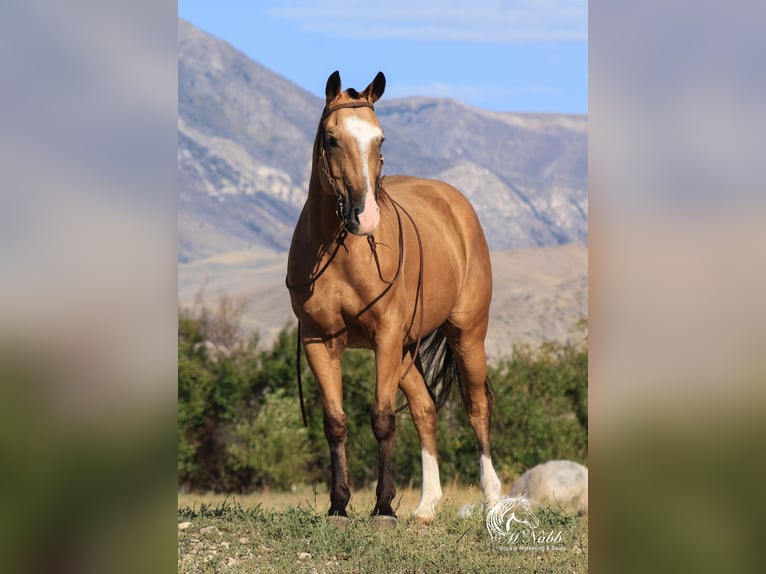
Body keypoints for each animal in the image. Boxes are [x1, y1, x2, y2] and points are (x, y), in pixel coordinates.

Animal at [288, 71, 504, 528]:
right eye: (332, 139)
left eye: (380, 140)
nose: (364, 215)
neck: (341, 252)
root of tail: (456, 205)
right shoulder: (319, 341)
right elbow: (336, 422)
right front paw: (339, 506)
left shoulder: (384, 338)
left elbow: (383, 419)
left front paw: (383, 507)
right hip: (406, 351)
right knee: (425, 410)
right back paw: (426, 507)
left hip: (466, 335)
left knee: (477, 408)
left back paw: (493, 502)